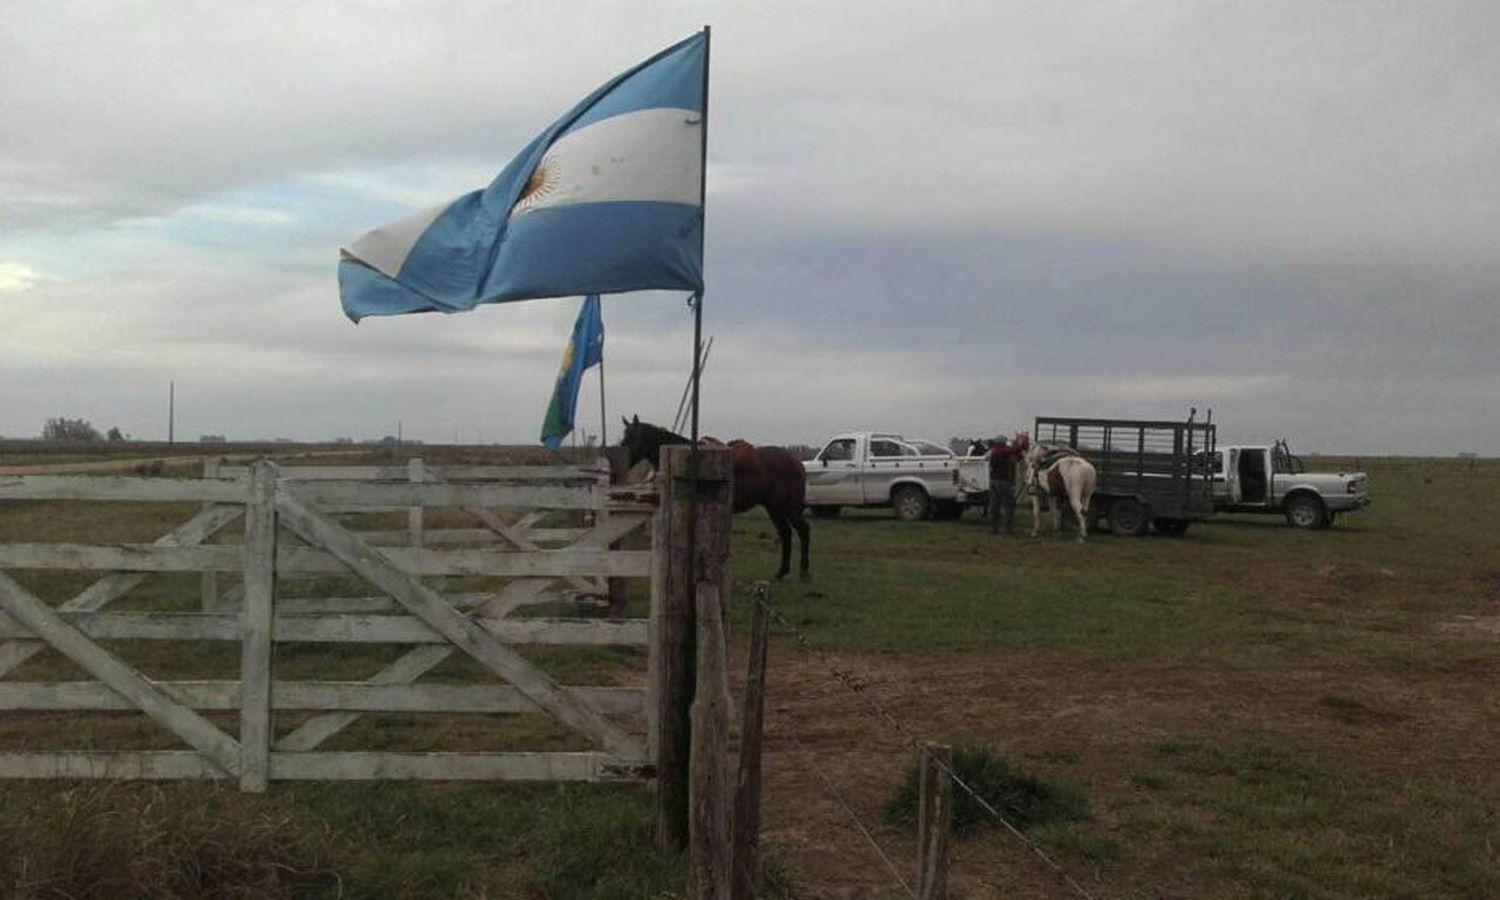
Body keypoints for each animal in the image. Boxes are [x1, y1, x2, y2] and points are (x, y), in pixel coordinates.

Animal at [618, 417, 816, 579]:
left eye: (632, 437)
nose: (621, 460)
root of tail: (797, 463)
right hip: (774, 509)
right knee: (786, 533)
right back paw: (782, 571)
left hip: (786, 507)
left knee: (803, 530)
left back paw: (804, 572)